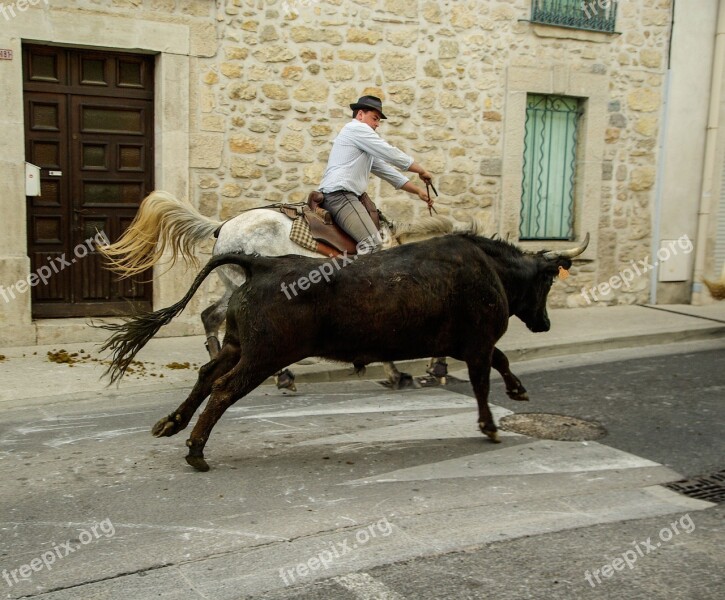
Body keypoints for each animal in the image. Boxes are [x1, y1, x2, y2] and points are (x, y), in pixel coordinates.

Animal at [99, 232, 584, 472]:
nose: (544, 323)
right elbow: (486, 380)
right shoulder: (477, 343)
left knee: (205, 375)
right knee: (222, 389)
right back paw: (196, 451)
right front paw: (490, 426)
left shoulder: (472, 345)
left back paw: (171, 424)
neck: (490, 268)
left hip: (240, 345)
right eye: (548, 280)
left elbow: (501, 363)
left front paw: (517, 391)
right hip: (263, 357)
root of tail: (262, 263)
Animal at [100, 191, 528, 394]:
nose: (437, 370)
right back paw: (282, 376)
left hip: (233, 286)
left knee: (211, 317)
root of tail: (224, 226)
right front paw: (405, 373)